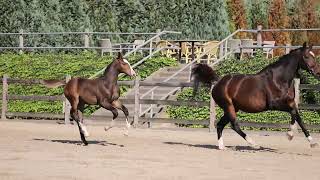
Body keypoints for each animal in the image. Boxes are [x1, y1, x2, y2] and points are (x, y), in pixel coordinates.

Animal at [192, 43, 320, 150]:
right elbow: (293, 113)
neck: (279, 79)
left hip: (232, 108)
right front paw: (290, 135)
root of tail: (218, 81)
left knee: (220, 125)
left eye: (313, 56)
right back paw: (254, 144)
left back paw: (222, 147)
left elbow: (298, 117)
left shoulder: (291, 102)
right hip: (228, 106)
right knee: (234, 125)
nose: (317, 72)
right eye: (306, 56)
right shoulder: (274, 104)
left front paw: (312, 142)